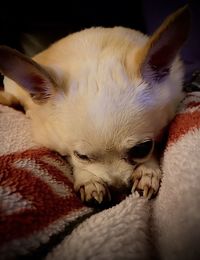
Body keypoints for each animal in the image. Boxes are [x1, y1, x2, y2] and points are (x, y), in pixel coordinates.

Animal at [0, 6, 189, 204]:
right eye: (82, 156)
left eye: (141, 149)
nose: (118, 189)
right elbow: (70, 158)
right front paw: (88, 180)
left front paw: (147, 172)